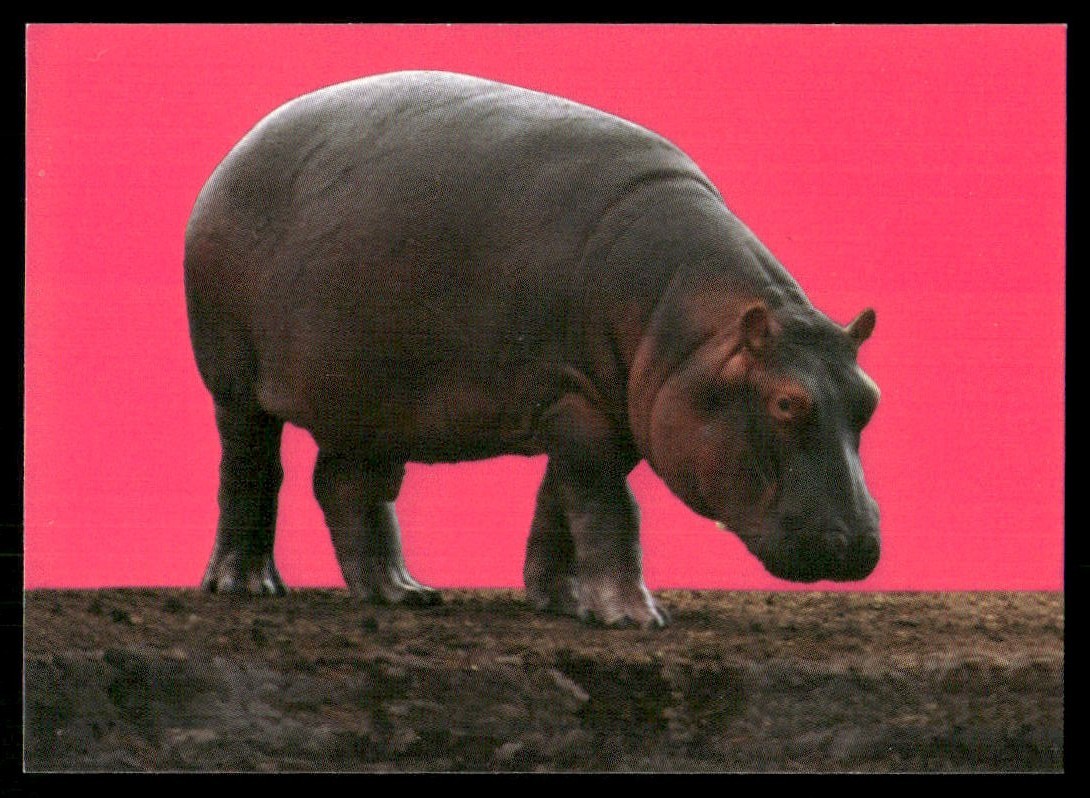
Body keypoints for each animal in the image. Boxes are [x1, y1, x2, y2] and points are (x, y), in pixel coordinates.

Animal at [185, 71, 881, 628]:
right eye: (787, 404)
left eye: (870, 398)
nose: (859, 546)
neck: (695, 327)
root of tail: (234, 156)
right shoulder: (578, 406)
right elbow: (607, 509)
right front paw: (634, 616)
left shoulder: (597, 412)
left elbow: (561, 507)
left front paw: (563, 601)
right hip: (236, 380)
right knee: (250, 468)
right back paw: (247, 585)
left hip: (367, 395)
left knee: (346, 485)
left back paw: (401, 593)